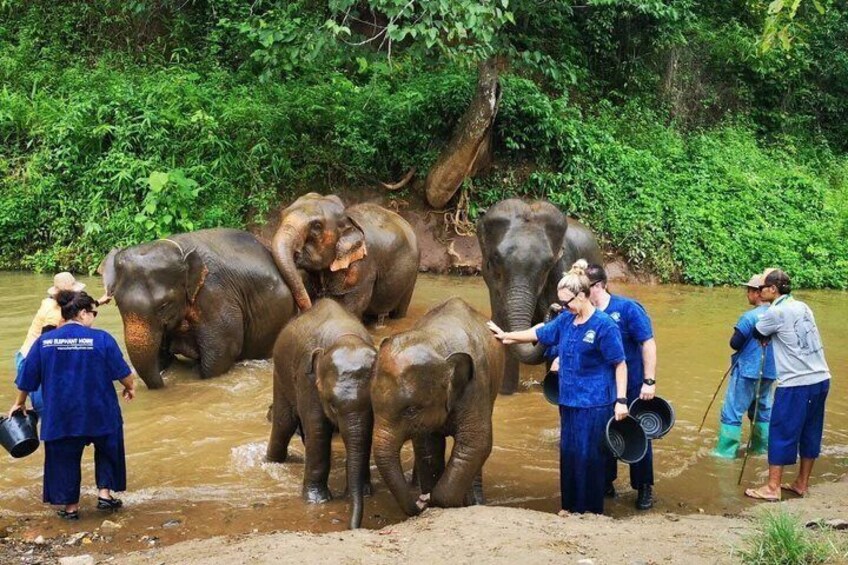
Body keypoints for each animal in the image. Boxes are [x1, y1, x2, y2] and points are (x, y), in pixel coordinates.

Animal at [100, 228, 296, 389]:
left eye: (164, 305)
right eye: (118, 304)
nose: (164, 383)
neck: (179, 250)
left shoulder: (215, 294)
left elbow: (221, 352)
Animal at [266, 299, 376, 529]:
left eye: (372, 404)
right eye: (332, 405)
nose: (353, 527)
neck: (345, 338)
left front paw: (365, 492)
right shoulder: (308, 380)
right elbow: (318, 431)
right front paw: (317, 501)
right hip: (280, 372)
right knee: (284, 424)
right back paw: (270, 463)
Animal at [271, 193, 420, 322]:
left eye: (317, 226)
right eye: (282, 214)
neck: (348, 218)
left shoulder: (362, 269)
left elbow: (352, 309)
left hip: (411, 275)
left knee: (401, 309)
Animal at [371, 297, 504, 517]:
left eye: (411, 410)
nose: (418, 503)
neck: (436, 341)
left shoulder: (476, 386)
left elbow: (475, 442)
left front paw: (443, 502)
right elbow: (428, 447)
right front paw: (429, 499)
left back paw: (476, 501)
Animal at [477, 199, 604, 394]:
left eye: (548, 263)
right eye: (496, 258)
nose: (555, 309)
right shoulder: (490, 280)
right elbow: (502, 323)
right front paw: (505, 394)